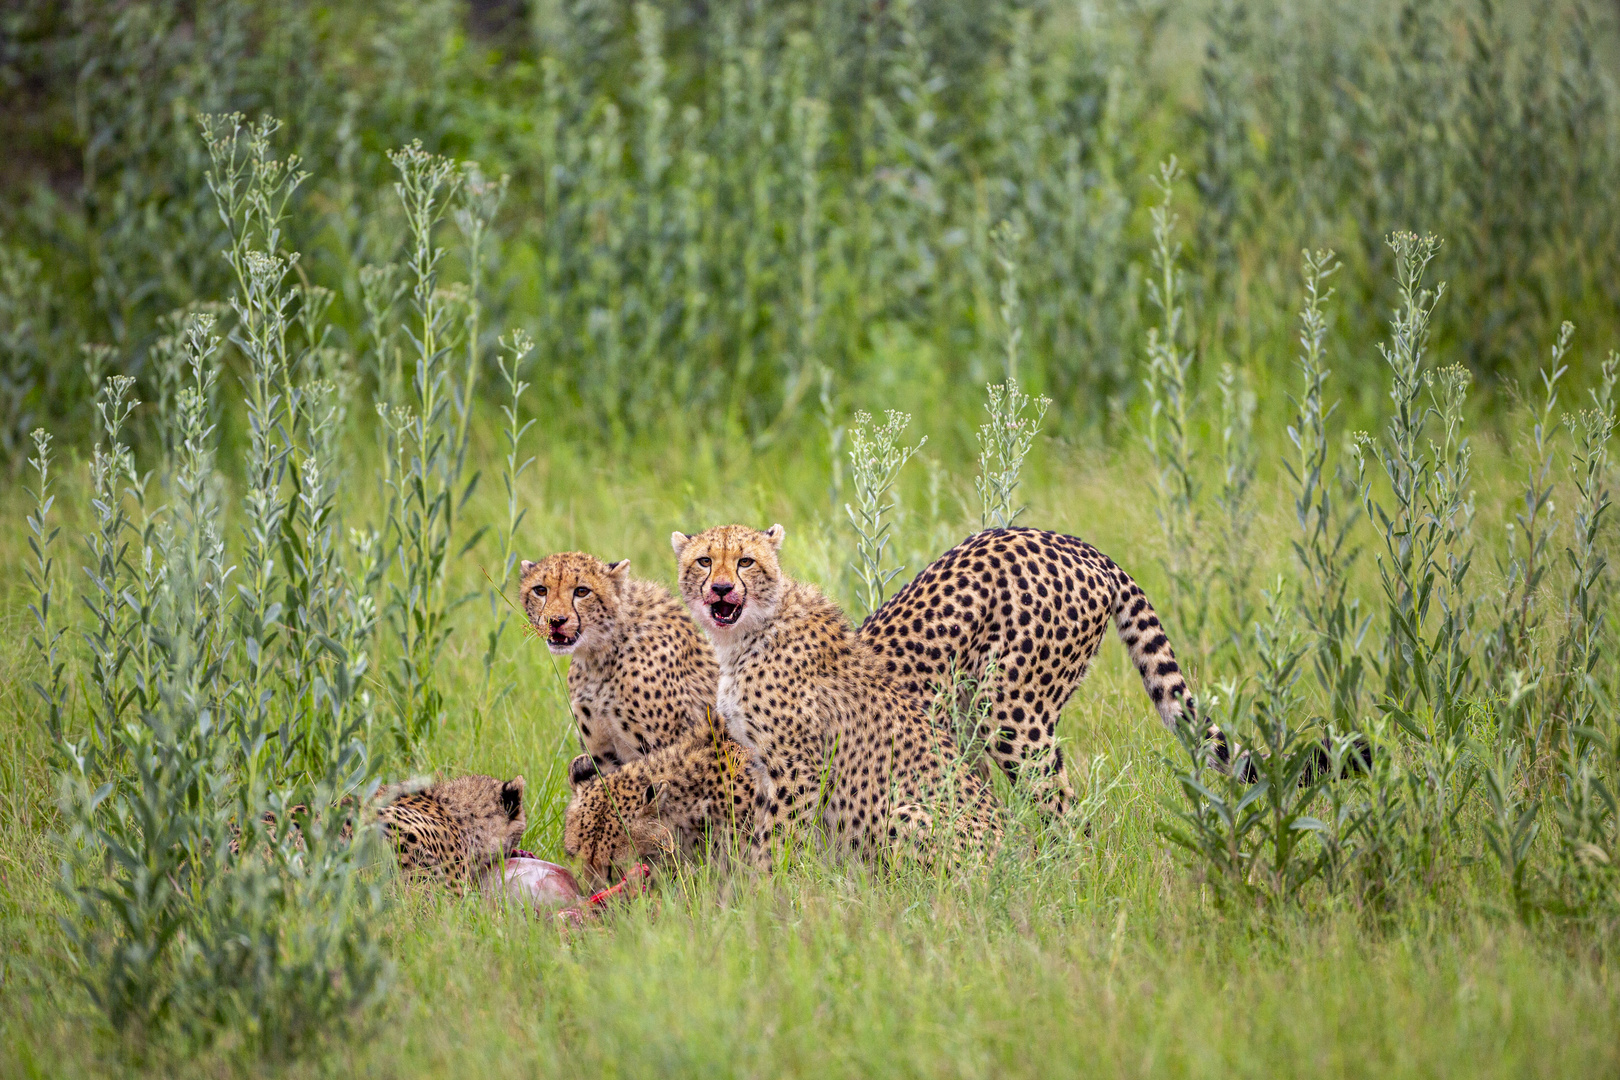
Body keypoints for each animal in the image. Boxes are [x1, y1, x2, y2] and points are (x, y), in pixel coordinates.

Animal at [667, 524, 997, 867]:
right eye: (705, 561)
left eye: (745, 561)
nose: (721, 588)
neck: (748, 634)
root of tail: (1007, 853)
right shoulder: (762, 762)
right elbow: (762, 828)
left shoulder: (796, 765)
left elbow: (778, 835)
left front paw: (768, 876)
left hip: (905, 812)